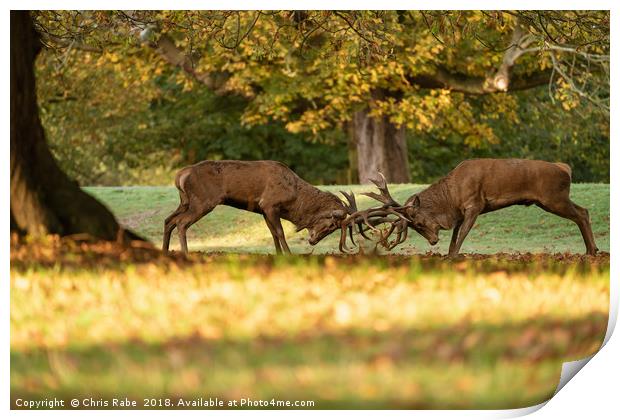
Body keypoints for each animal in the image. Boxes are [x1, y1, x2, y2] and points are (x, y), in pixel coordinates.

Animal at [162, 160, 358, 253]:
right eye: (332, 225)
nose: (313, 241)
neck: (294, 198)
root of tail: (180, 175)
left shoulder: (263, 210)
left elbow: (272, 234)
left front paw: (279, 255)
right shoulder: (270, 204)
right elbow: (280, 232)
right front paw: (288, 254)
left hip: (185, 201)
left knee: (168, 220)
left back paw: (165, 251)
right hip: (203, 201)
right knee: (181, 223)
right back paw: (185, 252)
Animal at [342, 158, 600, 256]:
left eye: (419, 222)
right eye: (414, 226)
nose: (432, 241)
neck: (452, 197)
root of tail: (565, 169)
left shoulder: (475, 203)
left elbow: (463, 232)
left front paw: (455, 255)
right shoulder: (460, 212)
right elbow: (455, 233)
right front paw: (448, 254)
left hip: (553, 197)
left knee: (582, 212)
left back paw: (591, 250)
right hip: (552, 199)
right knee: (583, 211)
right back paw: (592, 250)